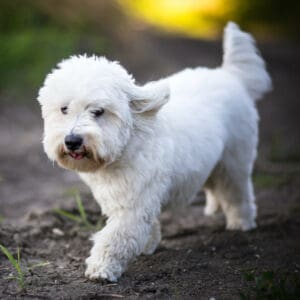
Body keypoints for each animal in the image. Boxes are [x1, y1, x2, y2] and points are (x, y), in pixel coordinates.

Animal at [37, 22, 272, 282]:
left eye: (98, 111)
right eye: (64, 109)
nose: (72, 141)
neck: (128, 143)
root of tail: (230, 75)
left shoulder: (134, 205)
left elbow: (115, 237)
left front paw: (101, 267)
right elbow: (146, 226)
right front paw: (148, 245)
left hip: (234, 161)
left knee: (237, 192)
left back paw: (241, 222)